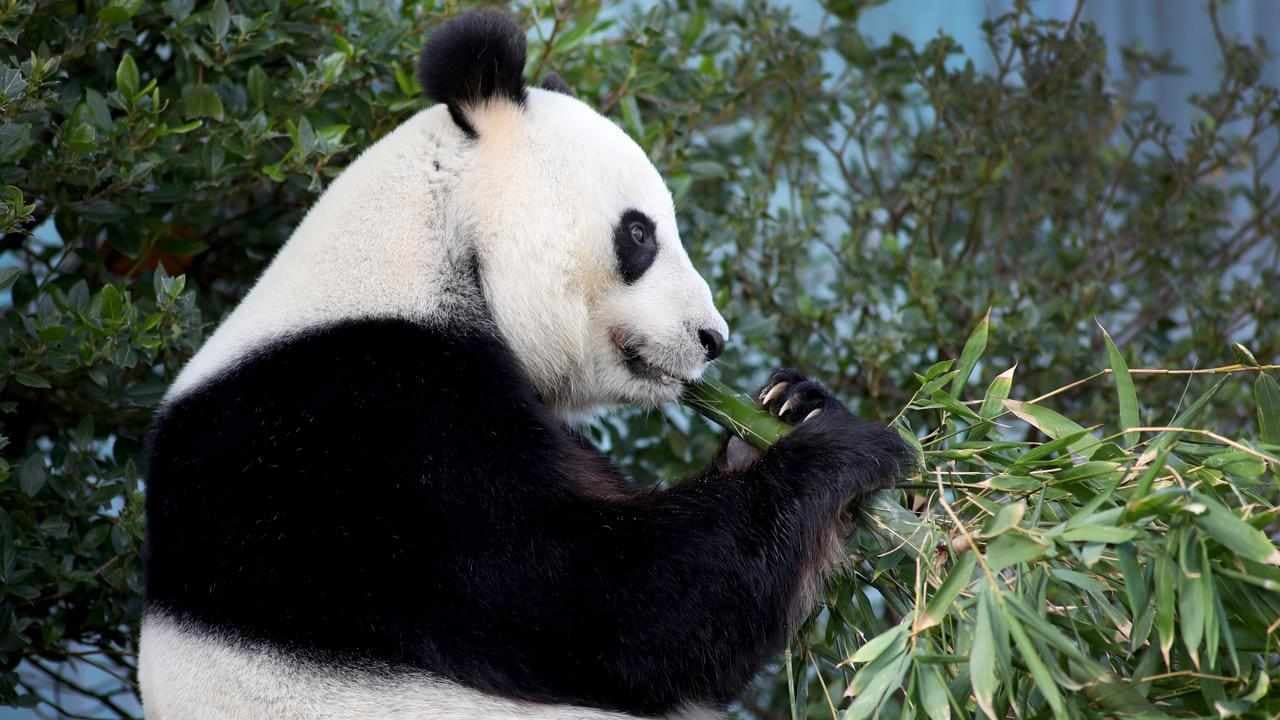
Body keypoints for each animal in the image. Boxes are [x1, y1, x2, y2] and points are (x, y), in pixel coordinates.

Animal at [139, 9, 912, 720]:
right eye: (640, 233)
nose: (711, 338)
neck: (423, 251)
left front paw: (790, 406)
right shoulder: (370, 439)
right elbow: (612, 603)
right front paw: (838, 448)